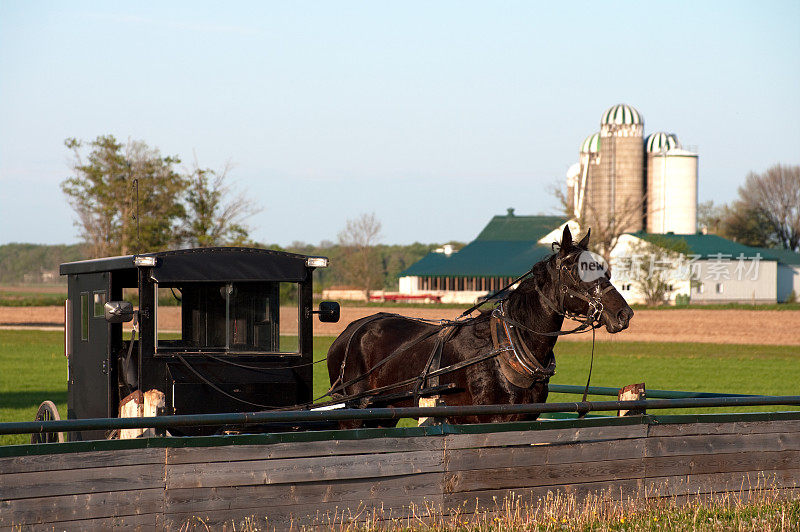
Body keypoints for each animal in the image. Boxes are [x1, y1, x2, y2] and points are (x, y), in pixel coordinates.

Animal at [324, 225, 632, 428]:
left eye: (603, 269)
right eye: (579, 270)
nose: (623, 314)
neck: (507, 348)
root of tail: (350, 330)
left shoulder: (525, 417)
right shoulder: (484, 418)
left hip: (382, 414)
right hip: (354, 413)